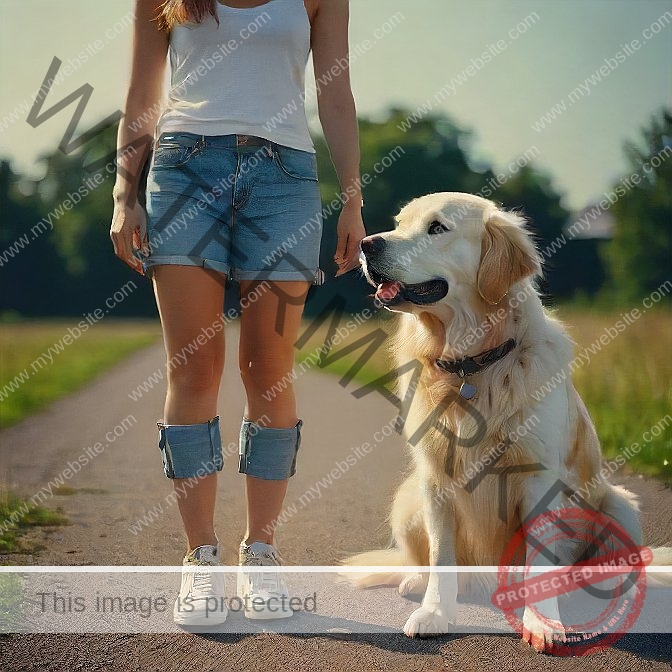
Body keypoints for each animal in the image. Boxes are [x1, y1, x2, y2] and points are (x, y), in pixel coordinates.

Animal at [346, 193, 672, 652]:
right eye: (398, 223)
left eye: (437, 228)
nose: (366, 243)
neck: (472, 363)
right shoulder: (435, 477)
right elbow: (442, 557)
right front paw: (434, 613)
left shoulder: (538, 479)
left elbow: (538, 561)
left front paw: (543, 623)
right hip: (407, 499)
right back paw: (417, 581)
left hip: (619, 504)